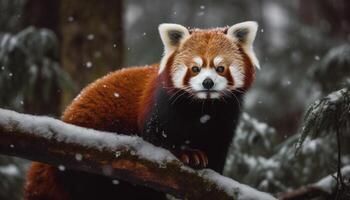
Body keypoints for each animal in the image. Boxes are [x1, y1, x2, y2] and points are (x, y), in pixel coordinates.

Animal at [24, 21, 260, 200]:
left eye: (220, 68)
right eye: (195, 68)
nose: (207, 83)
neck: (203, 107)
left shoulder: (226, 117)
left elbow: (218, 146)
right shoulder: (161, 105)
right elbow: (158, 136)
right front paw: (188, 153)